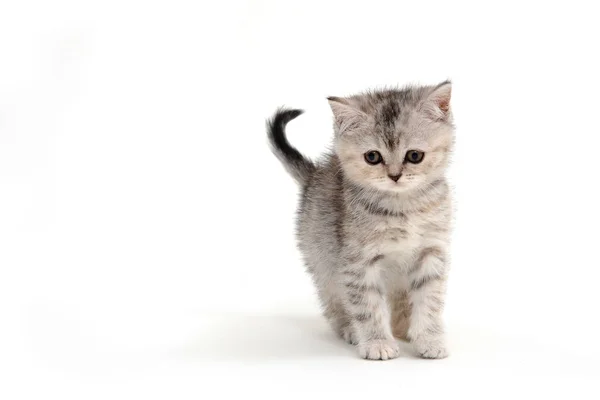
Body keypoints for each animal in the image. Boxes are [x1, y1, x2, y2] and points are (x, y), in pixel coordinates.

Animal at [268, 81, 454, 360]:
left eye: (414, 156)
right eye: (372, 157)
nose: (395, 176)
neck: (402, 208)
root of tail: (314, 177)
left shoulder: (430, 253)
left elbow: (428, 300)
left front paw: (429, 339)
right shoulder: (358, 262)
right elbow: (367, 305)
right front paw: (377, 342)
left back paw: (402, 329)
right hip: (323, 261)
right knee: (333, 301)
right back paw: (350, 329)